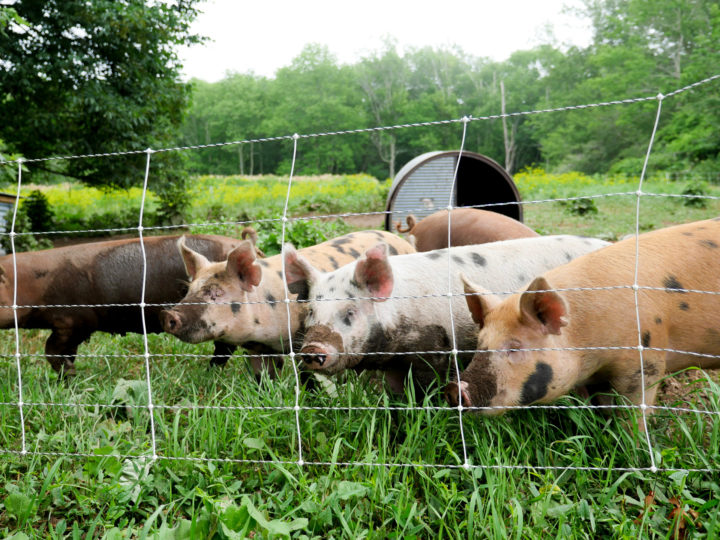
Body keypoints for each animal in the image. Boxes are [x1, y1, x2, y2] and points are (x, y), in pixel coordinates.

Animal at [0, 232, 248, 376]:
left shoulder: (75, 321)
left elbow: (52, 350)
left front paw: (69, 374)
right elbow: (66, 352)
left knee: (226, 347)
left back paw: (210, 372)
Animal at [160, 229, 414, 376]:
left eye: (215, 292)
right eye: (189, 290)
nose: (169, 315)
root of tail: (405, 241)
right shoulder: (258, 349)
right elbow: (262, 376)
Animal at [444, 217, 720, 420]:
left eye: (514, 347)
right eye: (480, 344)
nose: (455, 388)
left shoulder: (646, 360)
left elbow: (633, 410)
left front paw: (635, 444)